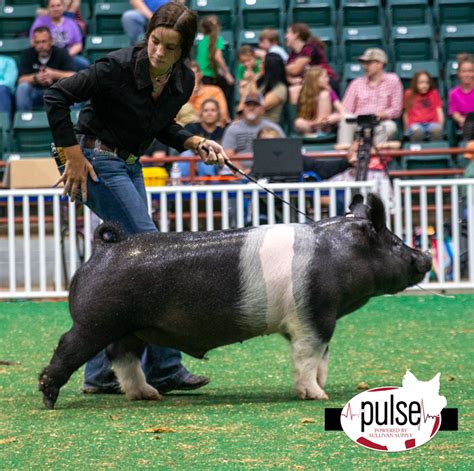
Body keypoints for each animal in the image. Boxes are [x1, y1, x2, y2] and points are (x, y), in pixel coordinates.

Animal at [39, 195, 434, 410]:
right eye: (395, 243)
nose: (426, 256)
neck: (336, 257)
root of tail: (106, 246)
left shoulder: (313, 321)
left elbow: (319, 357)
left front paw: (319, 388)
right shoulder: (315, 315)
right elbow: (309, 356)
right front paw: (318, 396)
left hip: (131, 328)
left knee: (122, 357)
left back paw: (149, 396)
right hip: (94, 322)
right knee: (67, 348)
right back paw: (48, 398)